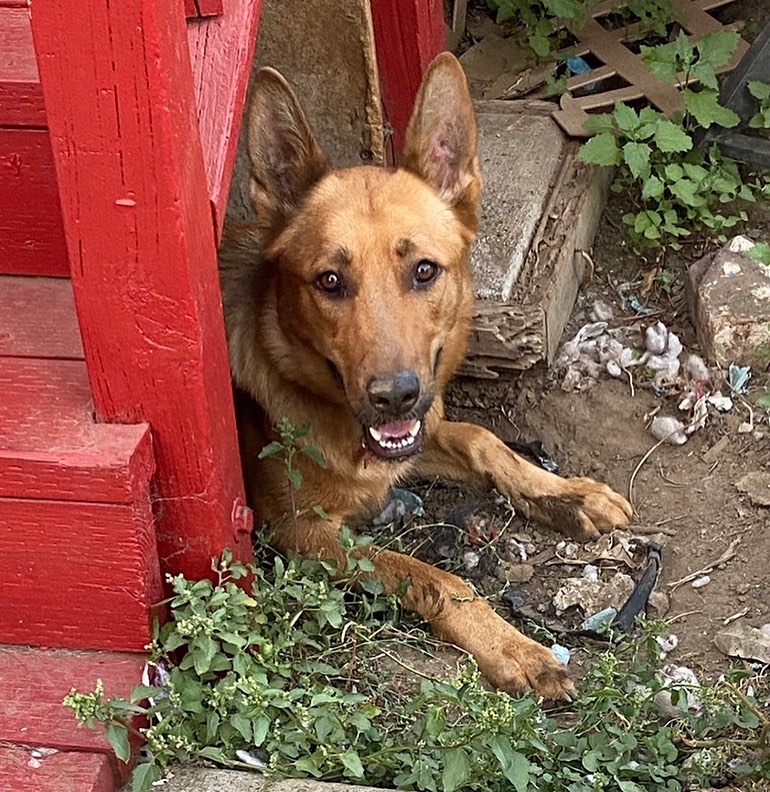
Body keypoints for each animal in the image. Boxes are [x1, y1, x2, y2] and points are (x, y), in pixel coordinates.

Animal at [216, 54, 632, 700]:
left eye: (424, 271)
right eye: (329, 281)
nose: (394, 396)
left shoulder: (418, 434)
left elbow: (483, 440)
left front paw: (567, 493)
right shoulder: (302, 533)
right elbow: (433, 575)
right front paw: (511, 646)